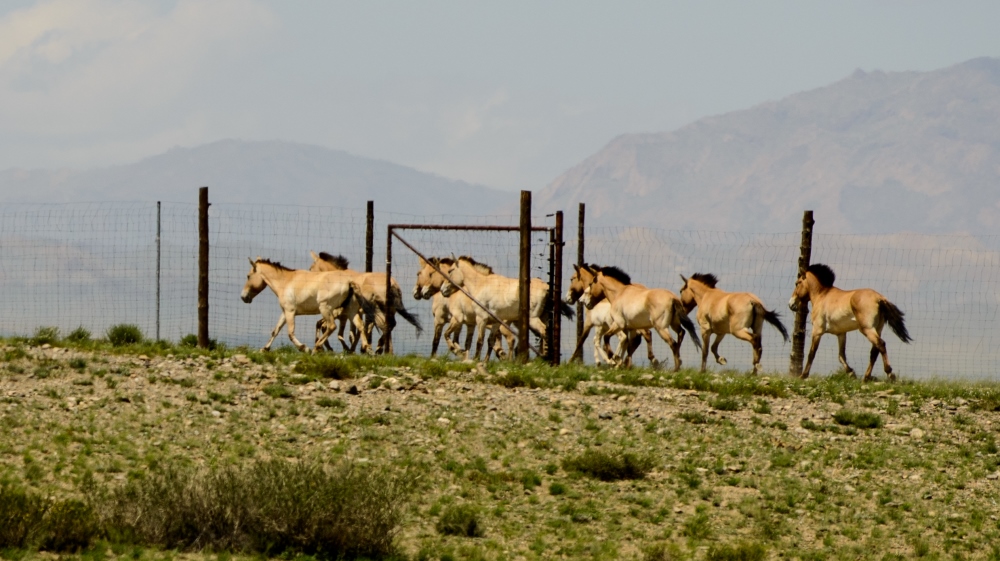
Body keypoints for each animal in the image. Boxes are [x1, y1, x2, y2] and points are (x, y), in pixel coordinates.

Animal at [239, 258, 376, 352]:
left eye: (248, 276)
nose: (243, 297)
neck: (286, 281)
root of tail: (349, 282)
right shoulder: (285, 312)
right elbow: (275, 330)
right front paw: (265, 349)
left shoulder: (290, 312)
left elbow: (290, 333)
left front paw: (304, 348)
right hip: (350, 310)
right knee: (360, 326)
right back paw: (366, 349)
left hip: (325, 308)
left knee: (331, 326)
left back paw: (316, 348)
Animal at [788, 264, 916, 380]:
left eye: (797, 283)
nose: (791, 304)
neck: (822, 296)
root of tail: (879, 298)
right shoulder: (841, 334)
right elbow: (841, 355)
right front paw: (851, 373)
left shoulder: (817, 331)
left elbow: (811, 353)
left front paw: (803, 375)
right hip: (877, 329)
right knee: (874, 351)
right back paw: (866, 378)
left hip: (867, 329)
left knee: (881, 344)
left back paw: (890, 373)